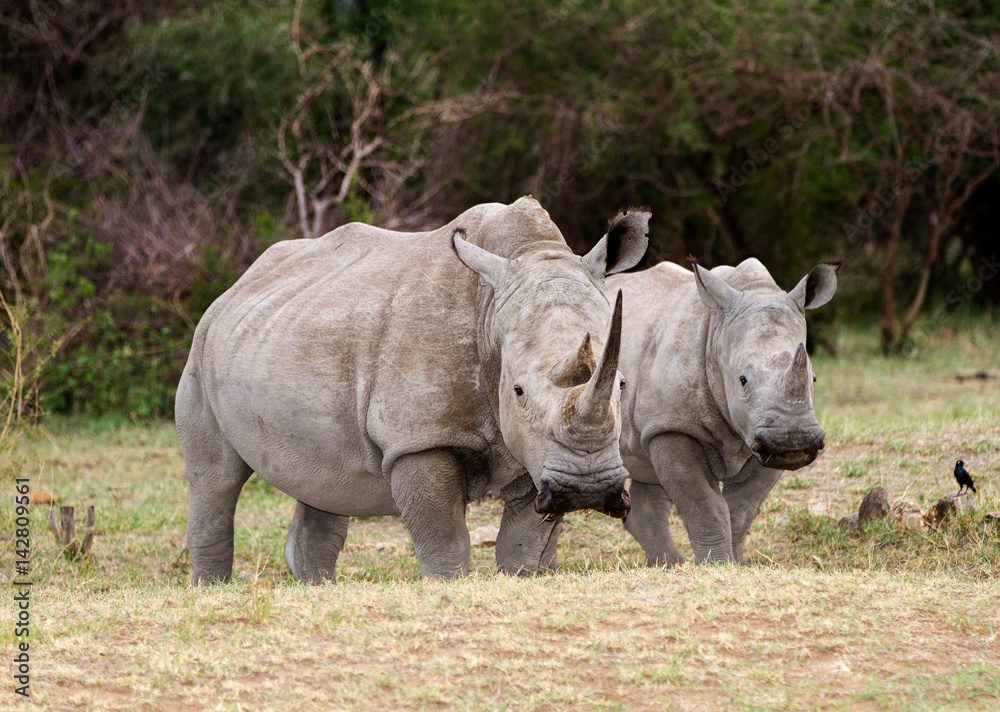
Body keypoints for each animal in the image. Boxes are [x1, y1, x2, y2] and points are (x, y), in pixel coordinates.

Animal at [176, 197, 650, 583]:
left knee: (324, 484)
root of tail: (238, 283)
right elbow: (443, 536)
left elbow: (524, 540)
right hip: (202, 346)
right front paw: (446, 584)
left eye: (623, 384)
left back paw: (316, 587)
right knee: (215, 477)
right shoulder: (417, 438)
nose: (588, 489)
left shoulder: (536, 452)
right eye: (517, 391)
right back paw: (212, 588)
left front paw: (520, 577)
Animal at [607, 257, 840, 564]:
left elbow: (741, 509)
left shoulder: (764, 441)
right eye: (742, 380)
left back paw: (669, 565)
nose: (794, 438)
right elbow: (705, 505)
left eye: (813, 379)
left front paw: (737, 564)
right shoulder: (671, 426)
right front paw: (715, 564)